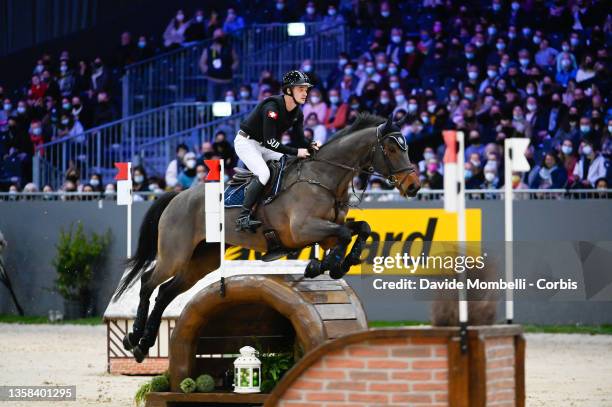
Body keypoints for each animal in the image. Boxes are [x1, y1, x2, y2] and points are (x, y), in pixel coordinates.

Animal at [112, 113, 418, 362]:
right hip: (175, 254)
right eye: (391, 148)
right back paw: (134, 337)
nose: (414, 186)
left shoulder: (326, 231)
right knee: (148, 283)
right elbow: (344, 234)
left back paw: (143, 344)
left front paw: (337, 262)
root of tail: (177, 196)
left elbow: (359, 229)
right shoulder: (303, 228)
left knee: (166, 292)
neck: (324, 177)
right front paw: (325, 266)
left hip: (203, 259)